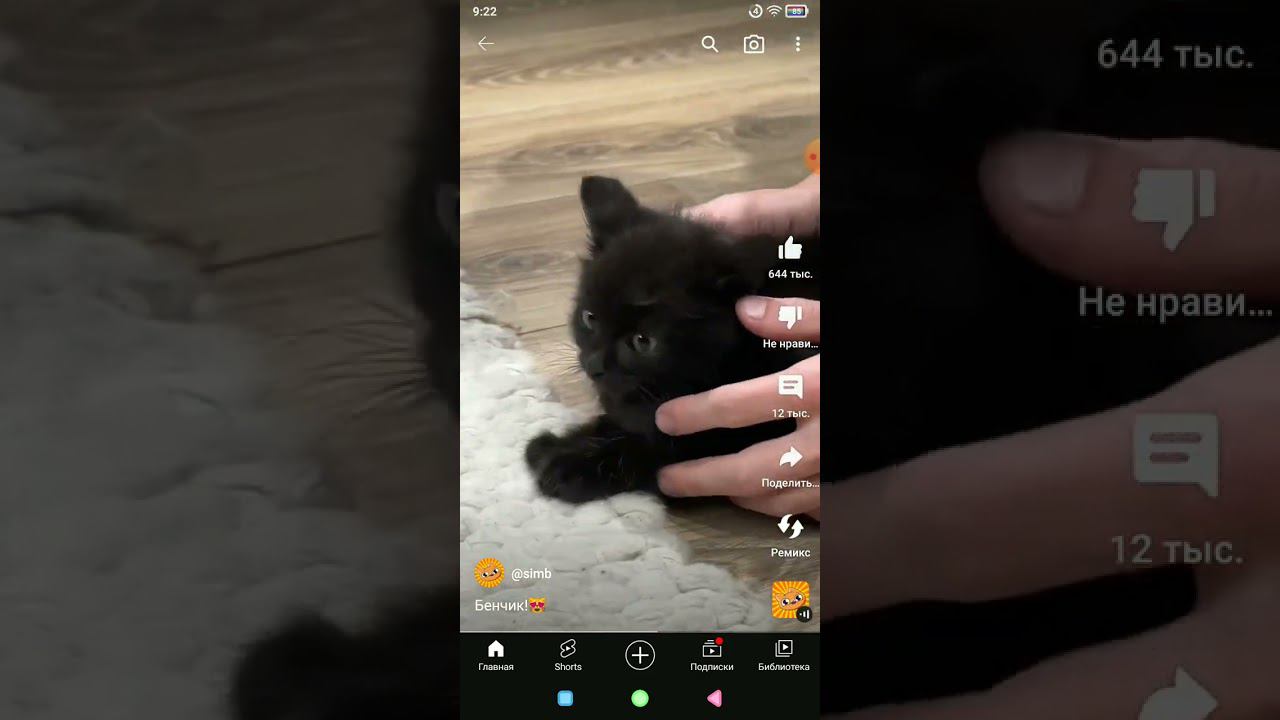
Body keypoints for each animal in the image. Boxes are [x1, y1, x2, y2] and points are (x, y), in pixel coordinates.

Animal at [524, 175, 819, 503]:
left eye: (643, 341)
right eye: (589, 317)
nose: (594, 364)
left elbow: (653, 447)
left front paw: (570, 465)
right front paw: (557, 444)